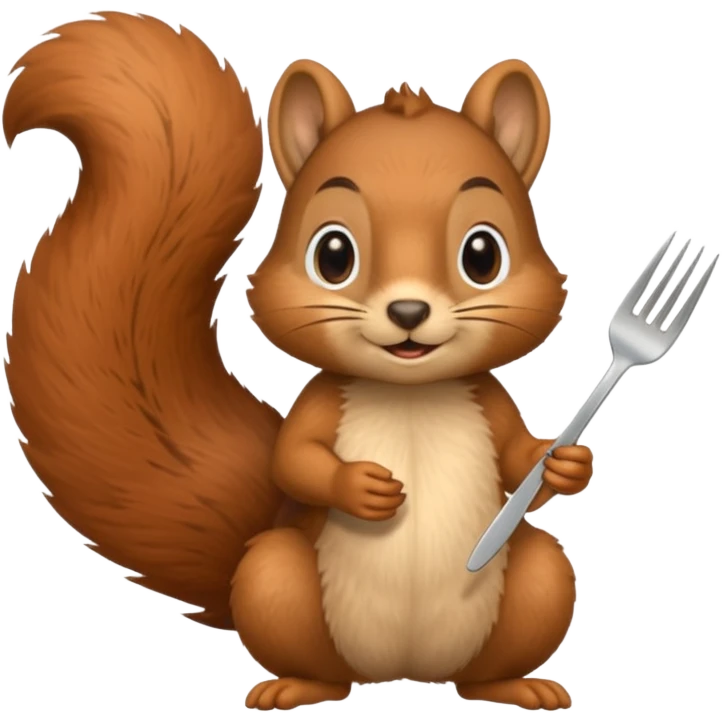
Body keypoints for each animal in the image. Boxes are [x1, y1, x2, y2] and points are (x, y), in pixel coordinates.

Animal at [3, 11, 594, 713]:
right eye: (332, 254)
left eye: (484, 255)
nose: (409, 312)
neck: (409, 390)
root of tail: (404, 674)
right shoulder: (319, 404)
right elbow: (293, 460)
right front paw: (360, 486)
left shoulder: (489, 401)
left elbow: (516, 459)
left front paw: (562, 462)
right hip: (273, 578)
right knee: (310, 651)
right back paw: (295, 685)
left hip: (536, 584)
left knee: (506, 635)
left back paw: (516, 684)